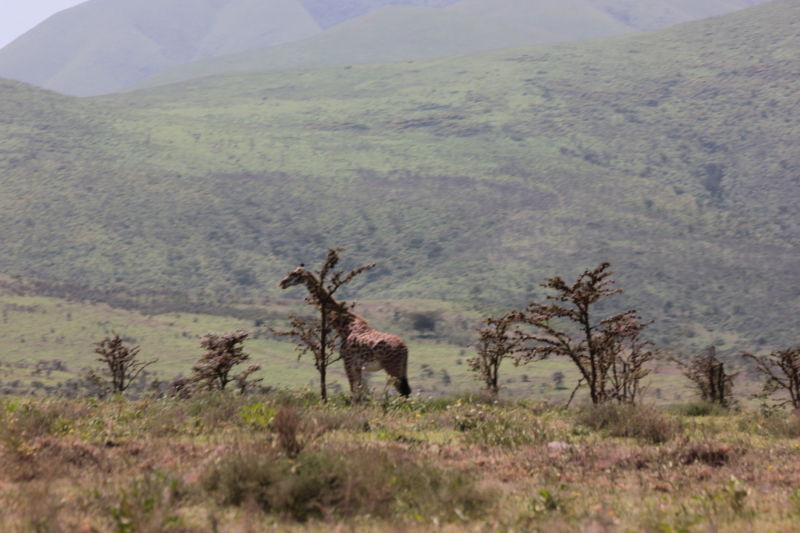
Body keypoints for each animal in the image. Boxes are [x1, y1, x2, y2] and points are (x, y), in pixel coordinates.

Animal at [278, 264, 412, 394]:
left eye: (295, 273)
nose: (282, 283)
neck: (345, 327)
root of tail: (404, 349)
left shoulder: (348, 361)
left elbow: (354, 393)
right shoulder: (357, 366)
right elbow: (362, 392)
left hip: (391, 367)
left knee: (403, 392)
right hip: (402, 368)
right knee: (406, 391)